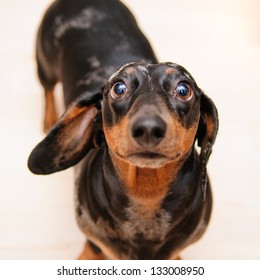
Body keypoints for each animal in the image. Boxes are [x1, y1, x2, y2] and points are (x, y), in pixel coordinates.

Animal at [27, 0, 217, 260]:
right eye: (118, 88)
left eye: (183, 89)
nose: (148, 128)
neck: (146, 197)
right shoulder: (94, 241)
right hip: (44, 64)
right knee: (47, 89)